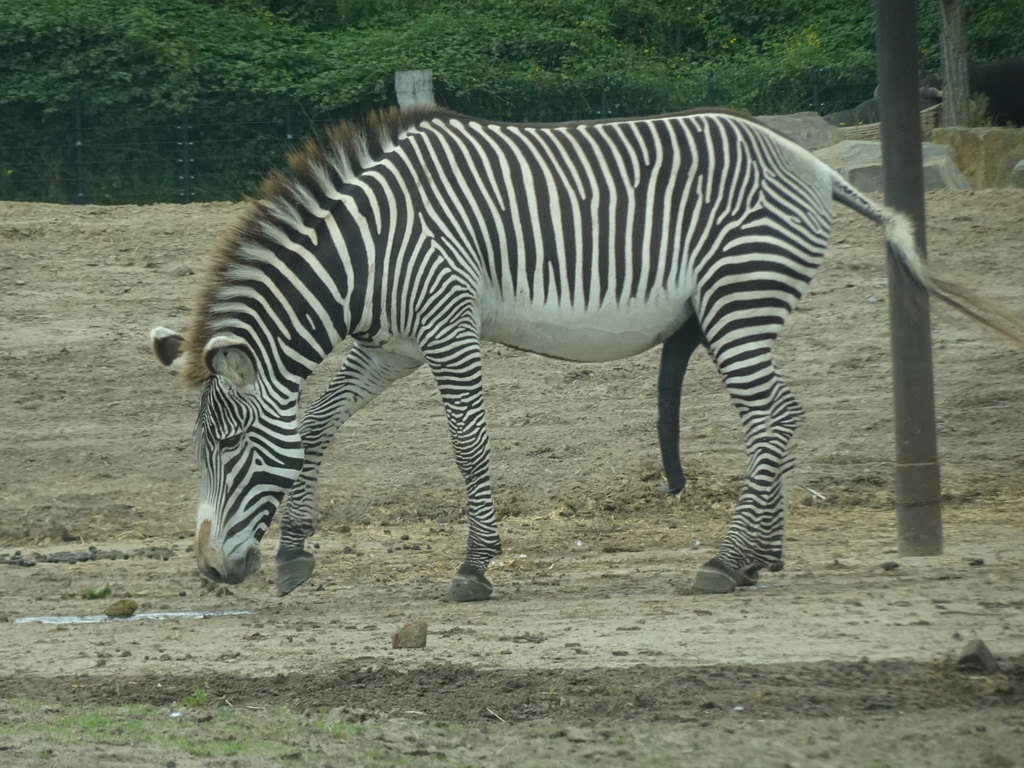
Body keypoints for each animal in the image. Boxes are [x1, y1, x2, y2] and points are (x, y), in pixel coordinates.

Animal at [148, 107, 1011, 602]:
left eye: (228, 446)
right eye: (199, 448)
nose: (211, 572)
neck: (366, 252)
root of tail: (817, 164)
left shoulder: (448, 326)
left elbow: (468, 445)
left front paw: (475, 567)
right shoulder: (396, 345)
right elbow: (320, 422)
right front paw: (296, 553)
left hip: (740, 298)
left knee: (771, 419)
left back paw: (726, 562)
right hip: (743, 308)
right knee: (783, 416)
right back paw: (760, 557)